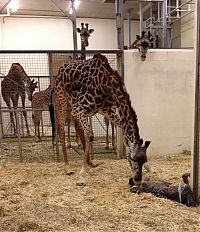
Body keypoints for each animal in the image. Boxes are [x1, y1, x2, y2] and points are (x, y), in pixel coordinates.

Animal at [51, 54, 150, 187]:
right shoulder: (79, 108)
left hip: (75, 105)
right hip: (62, 99)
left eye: (144, 160)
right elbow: (90, 135)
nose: (138, 180)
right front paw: (81, 177)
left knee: (78, 128)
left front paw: (149, 169)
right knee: (62, 129)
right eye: (133, 159)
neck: (109, 86)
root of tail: (61, 68)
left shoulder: (106, 110)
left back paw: (90, 162)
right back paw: (67, 167)